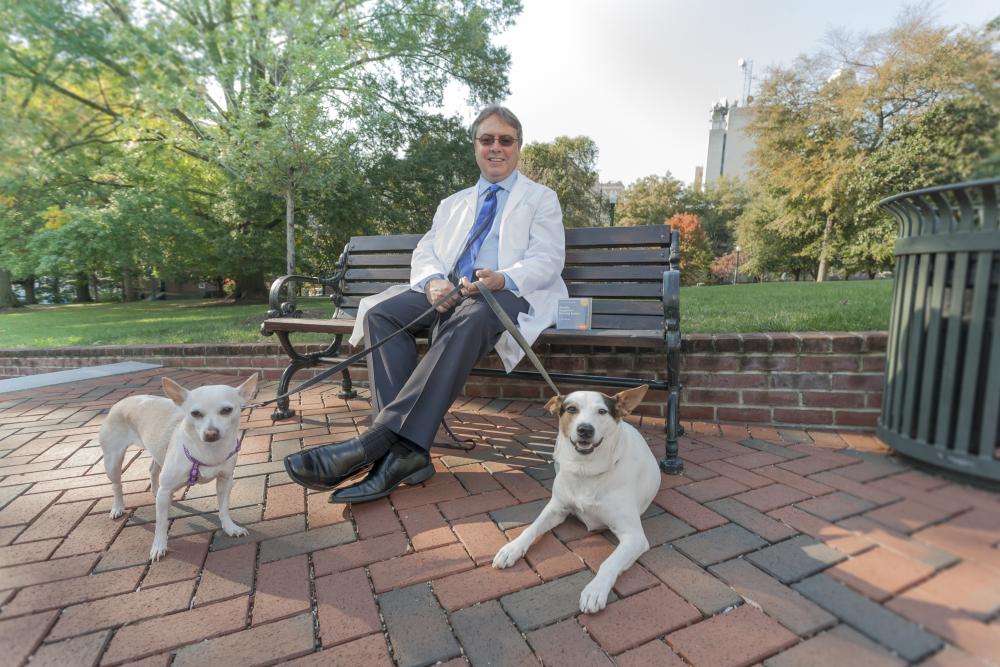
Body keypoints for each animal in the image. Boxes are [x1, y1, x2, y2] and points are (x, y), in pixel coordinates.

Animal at [99, 378, 258, 560]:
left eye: (227, 410)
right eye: (195, 413)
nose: (211, 433)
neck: (209, 452)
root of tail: (120, 402)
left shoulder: (225, 481)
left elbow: (224, 509)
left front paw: (230, 528)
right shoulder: (166, 490)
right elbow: (161, 523)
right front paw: (159, 546)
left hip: (158, 454)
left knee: (153, 469)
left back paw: (154, 490)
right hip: (113, 461)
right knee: (117, 485)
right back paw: (117, 508)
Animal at [494, 384, 664, 612]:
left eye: (602, 411)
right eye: (572, 409)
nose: (585, 429)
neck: (586, 471)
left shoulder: (634, 536)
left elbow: (609, 562)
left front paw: (595, 589)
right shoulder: (556, 509)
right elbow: (531, 528)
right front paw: (512, 548)